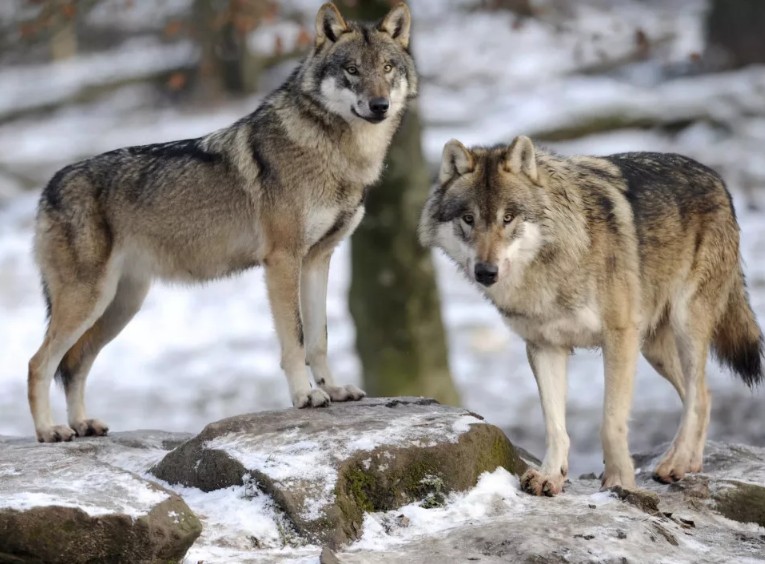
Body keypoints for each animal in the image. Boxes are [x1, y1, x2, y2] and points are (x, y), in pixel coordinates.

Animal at [28, 2, 418, 442]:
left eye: (387, 67)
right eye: (351, 69)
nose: (379, 105)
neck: (339, 156)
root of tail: (49, 186)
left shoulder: (319, 259)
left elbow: (319, 338)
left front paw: (333, 390)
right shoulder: (282, 261)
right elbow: (296, 339)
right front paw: (305, 396)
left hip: (119, 306)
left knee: (75, 363)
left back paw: (82, 424)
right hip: (89, 301)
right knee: (39, 363)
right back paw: (50, 431)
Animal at [420, 137, 760, 494]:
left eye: (508, 217)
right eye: (468, 218)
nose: (486, 271)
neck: (550, 269)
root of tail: (717, 178)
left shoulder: (619, 337)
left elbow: (611, 422)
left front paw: (620, 481)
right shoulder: (545, 346)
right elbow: (555, 425)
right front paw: (550, 475)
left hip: (684, 325)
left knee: (696, 396)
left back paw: (676, 463)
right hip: (653, 348)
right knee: (705, 395)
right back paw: (690, 463)